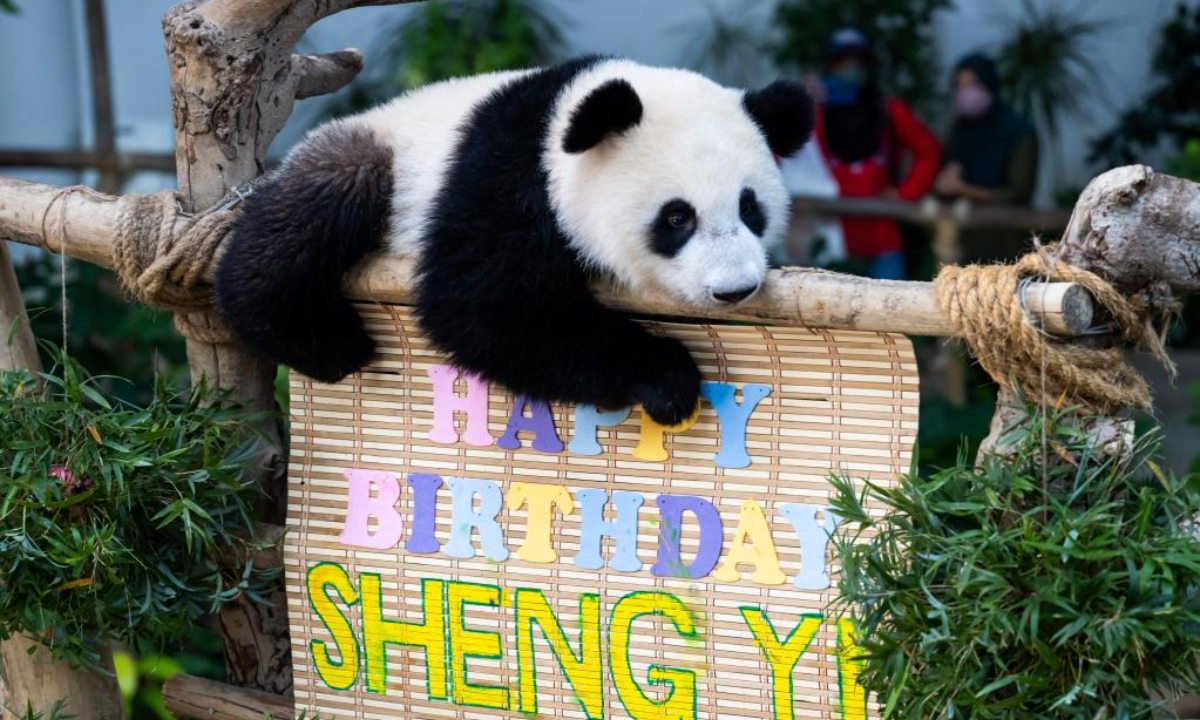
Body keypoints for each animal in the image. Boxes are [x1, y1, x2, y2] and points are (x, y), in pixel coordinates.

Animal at [216, 59, 816, 427]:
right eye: (676, 218)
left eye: (750, 208)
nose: (733, 290)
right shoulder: (507, 174)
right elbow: (487, 307)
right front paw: (668, 378)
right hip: (383, 157)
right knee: (312, 211)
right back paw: (324, 341)